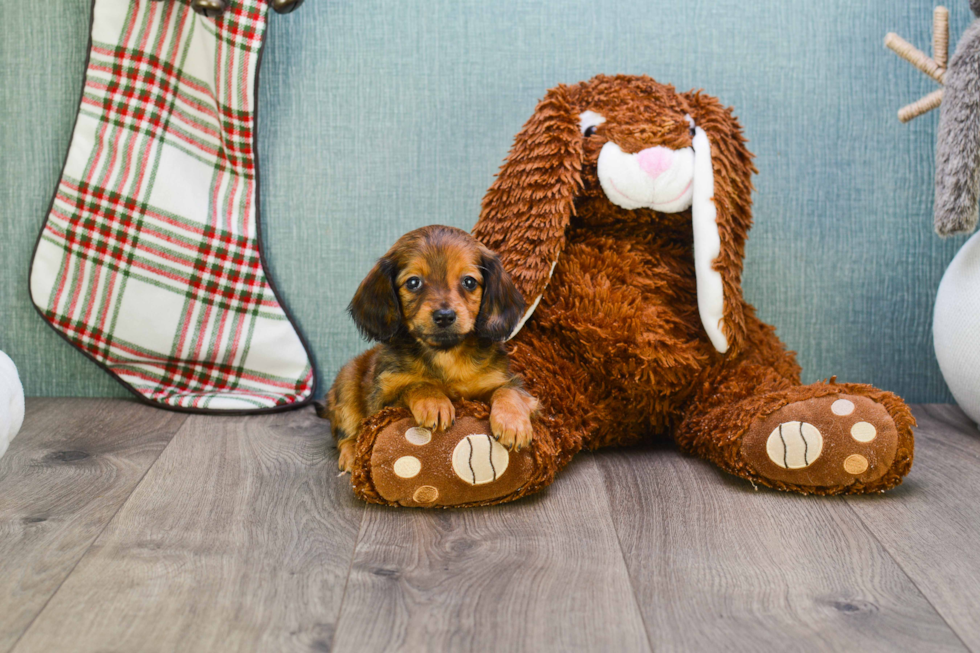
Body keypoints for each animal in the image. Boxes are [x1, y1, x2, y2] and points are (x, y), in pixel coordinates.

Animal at [324, 224, 540, 468]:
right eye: (413, 282)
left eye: (469, 282)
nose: (444, 316)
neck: (446, 355)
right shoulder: (382, 402)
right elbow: (416, 385)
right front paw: (434, 402)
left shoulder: (501, 380)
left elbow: (508, 391)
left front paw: (513, 423)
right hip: (346, 386)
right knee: (346, 434)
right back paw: (351, 456)